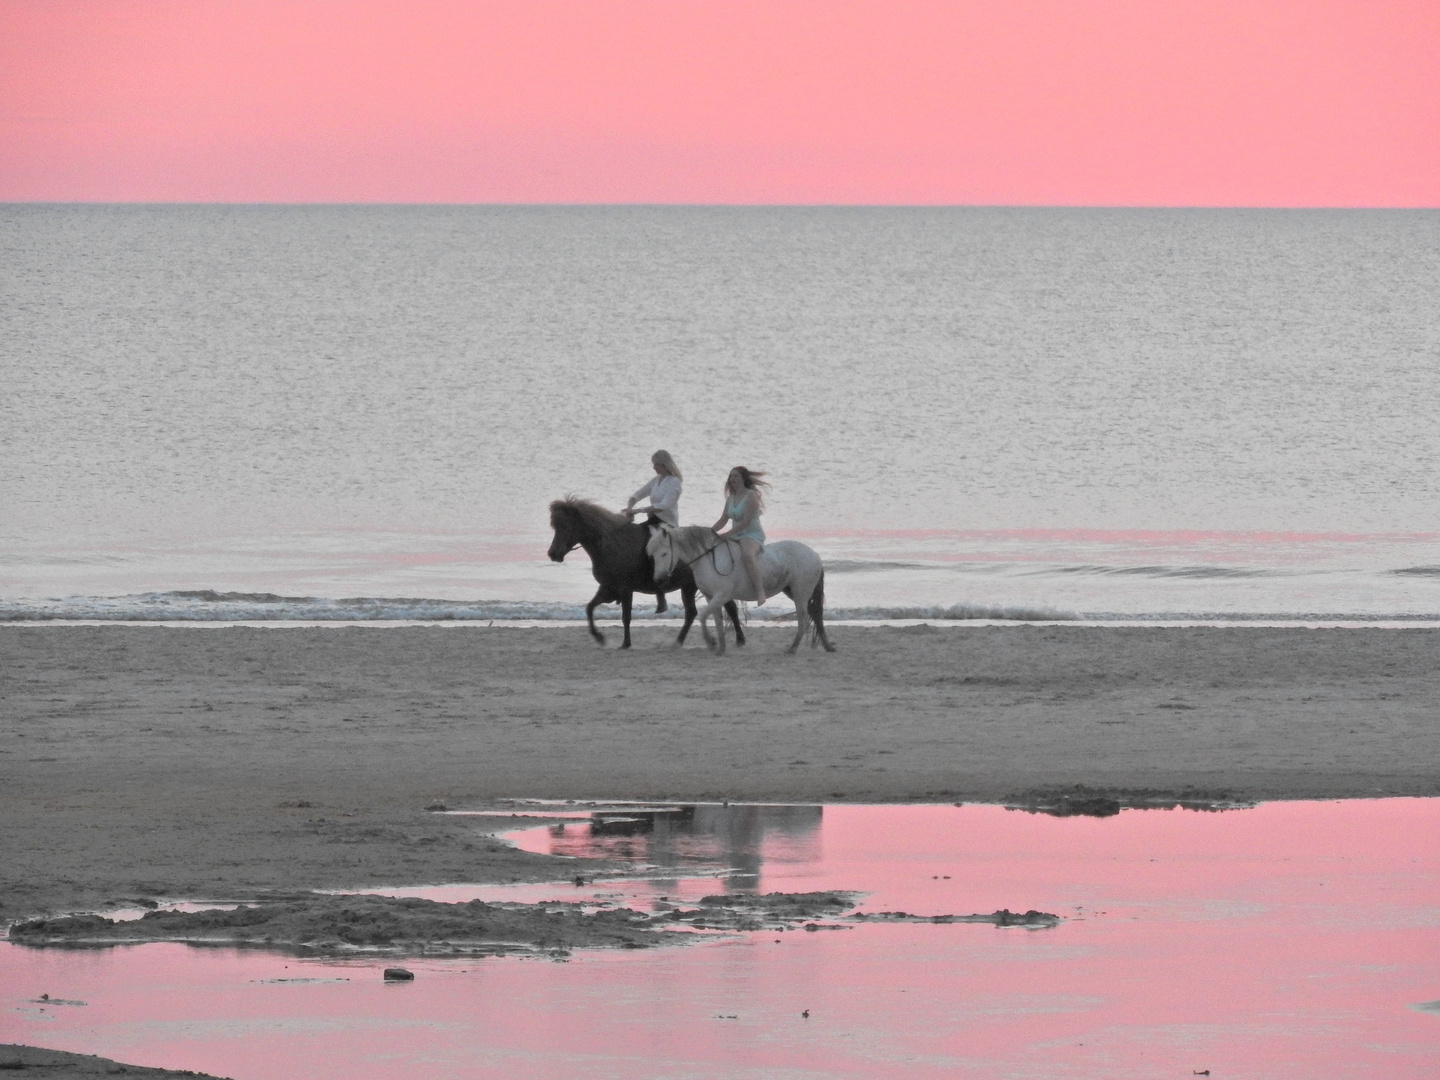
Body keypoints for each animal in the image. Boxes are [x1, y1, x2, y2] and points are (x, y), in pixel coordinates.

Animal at [547, 498, 748, 650]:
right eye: (555, 526)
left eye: (566, 527)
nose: (553, 553)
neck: (611, 546)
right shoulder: (607, 589)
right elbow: (589, 608)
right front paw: (599, 637)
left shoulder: (625, 590)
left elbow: (626, 617)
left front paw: (626, 643)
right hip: (690, 588)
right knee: (694, 613)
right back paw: (679, 641)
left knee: (727, 608)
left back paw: (739, 639)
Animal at [642, 527, 835, 656]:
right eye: (652, 555)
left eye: (664, 553)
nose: (658, 580)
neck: (707, 559)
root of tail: (814, 555)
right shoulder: (711, 597)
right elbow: (717, 620)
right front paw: (720, 647)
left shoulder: (721, 595)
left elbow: (703, 616)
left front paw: (711, 642)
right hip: (792, 592)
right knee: (815, 614)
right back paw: (827, 646)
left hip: (801, 593)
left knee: (803, 619)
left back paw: (793, 648)